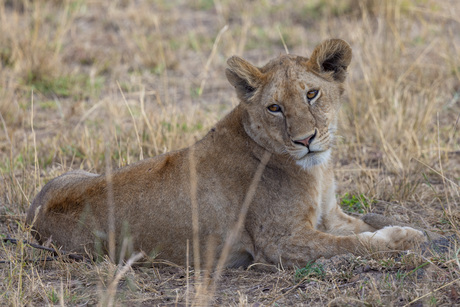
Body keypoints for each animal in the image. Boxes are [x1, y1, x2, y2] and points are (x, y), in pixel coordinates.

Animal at [27, 39, 426, 270]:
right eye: (275, 108)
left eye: (312, 94)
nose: (306, 140)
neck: (315, 170)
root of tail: (33, 216)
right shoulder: (280, 242)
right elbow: (353, 244)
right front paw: (405, 240)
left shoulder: (329, 216)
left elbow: (367, 223)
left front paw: (410, 228)